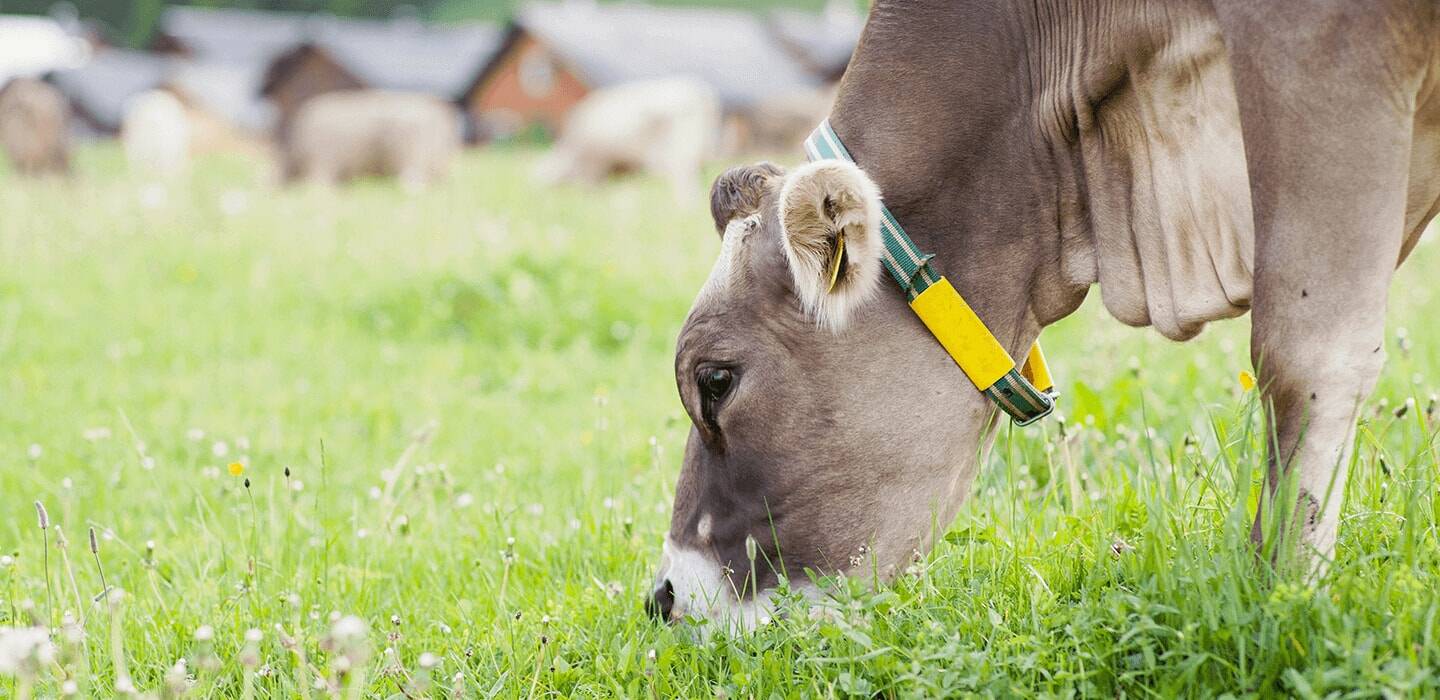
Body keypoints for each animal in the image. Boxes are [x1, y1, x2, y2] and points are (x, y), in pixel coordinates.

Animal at [535, 77, 720, 201]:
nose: (538, 194)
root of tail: (699, 91)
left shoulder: (593, 165)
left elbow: (590, 188)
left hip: (680, 152)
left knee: (685, 183)